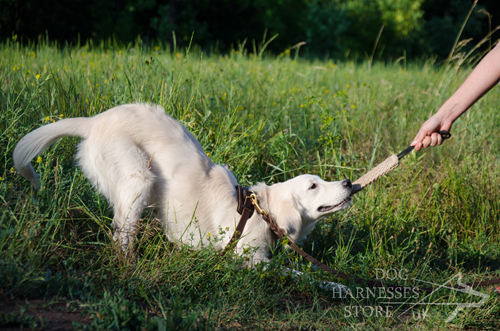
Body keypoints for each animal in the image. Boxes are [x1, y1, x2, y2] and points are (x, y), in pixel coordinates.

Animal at [14, 104, 352, 264]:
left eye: (322, 180)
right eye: (313, 186)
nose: (349, 182)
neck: (260, 211)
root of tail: (95, 120)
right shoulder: (250, 261)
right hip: (139, 178)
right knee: (120, 237)